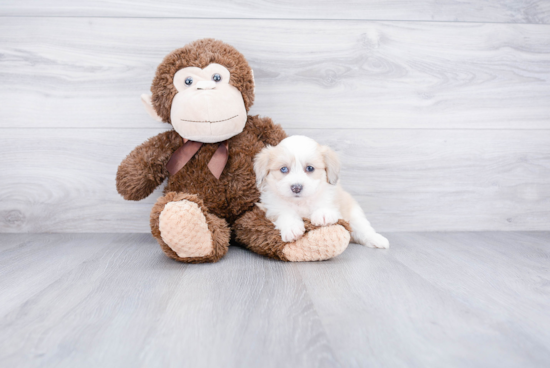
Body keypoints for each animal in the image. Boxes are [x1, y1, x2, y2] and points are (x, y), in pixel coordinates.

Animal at [256, 137, 390, 249]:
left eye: (310, 168)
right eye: (284, 169)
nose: (296, 188)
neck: (301, 202)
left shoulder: (333, 203)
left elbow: (324, 205)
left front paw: (322, 214)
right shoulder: (273, 210)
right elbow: (286, 215)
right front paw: (292, 228)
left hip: (354, 215)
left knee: (363, 229)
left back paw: (377, 240)